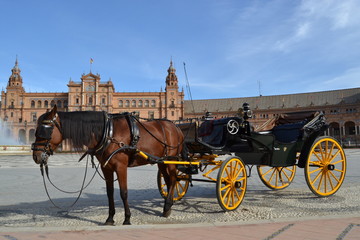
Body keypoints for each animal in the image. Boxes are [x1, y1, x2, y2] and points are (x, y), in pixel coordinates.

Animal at [31, 105, 184, 225]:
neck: (108, 133)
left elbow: (123, 192)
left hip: (172, 160)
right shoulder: (106, 168)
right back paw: (168, 206)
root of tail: (176, 127)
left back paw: (167, 206)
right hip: (162, 161)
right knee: (168, 180)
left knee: (173, 179)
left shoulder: (121, 167)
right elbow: (110, 193)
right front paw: (110, 218)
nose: (36, 156)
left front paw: (127, 218)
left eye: (45, 130)